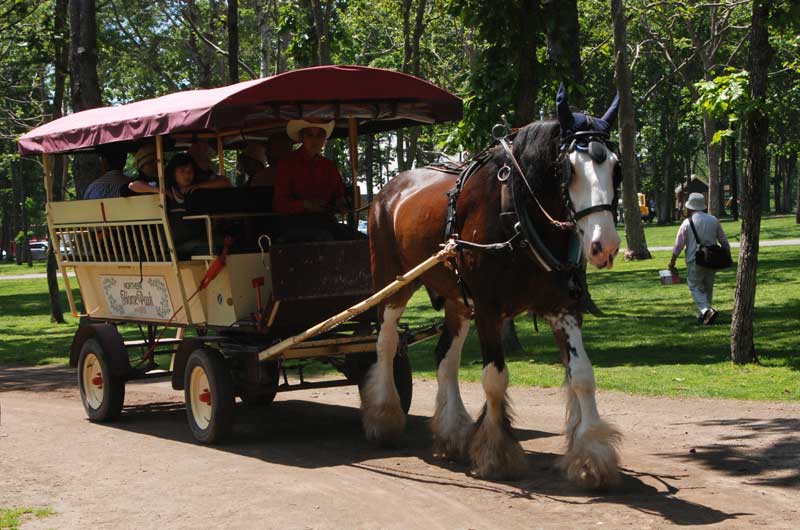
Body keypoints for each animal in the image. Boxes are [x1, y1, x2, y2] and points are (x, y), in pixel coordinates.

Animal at [364, 85, 624, 486]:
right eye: (570, 169)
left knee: (445, 359)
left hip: (457, 298)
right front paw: (497, 453)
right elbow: (495, 379)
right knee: (387, 343)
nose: (604, 245)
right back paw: (383, 416)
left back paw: (452, 432)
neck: (518, 214)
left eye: (615, 167)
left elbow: (582, 376)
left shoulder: (563, 307)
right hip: (393, 285)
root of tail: (387, 190)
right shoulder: (488, 308)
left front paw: (591, 454)